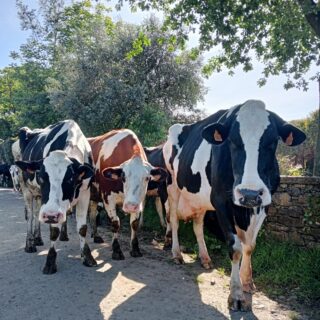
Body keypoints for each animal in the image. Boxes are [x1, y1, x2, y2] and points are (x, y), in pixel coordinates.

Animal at [15, 119, 95, 274]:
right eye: (41, 177)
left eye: (70, 179)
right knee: (30, 215)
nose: (50, 215)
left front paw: (87, 257)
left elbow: (82, 228)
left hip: (39, 196)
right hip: (26, 188)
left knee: (36, 213)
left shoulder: (85, 192)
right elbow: (54, 231)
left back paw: (38, 238)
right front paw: (50, 262)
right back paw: (30, 244)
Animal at [88, 129, 166, 260]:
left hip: (94, 195)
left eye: (147, 178)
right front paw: (116, 250)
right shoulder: (108, 197)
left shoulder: (138, 201)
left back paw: (96, 235)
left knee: (93, 213)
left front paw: (135, 249)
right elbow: (115, 223)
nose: (130, 206)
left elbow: (134, 224)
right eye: (123, 176)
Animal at [164, 100, 306, 310]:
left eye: (272, 142)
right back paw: (176, 254)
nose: (249, 193)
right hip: (172, 186)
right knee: (173, 220)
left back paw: (205, 258)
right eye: (232, 140)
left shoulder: (264, 203)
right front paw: (236, 295)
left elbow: (250, 245)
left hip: (200, 199)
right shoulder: (221, 202)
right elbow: (236, 247)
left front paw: (247, 282)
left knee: (198, 226)